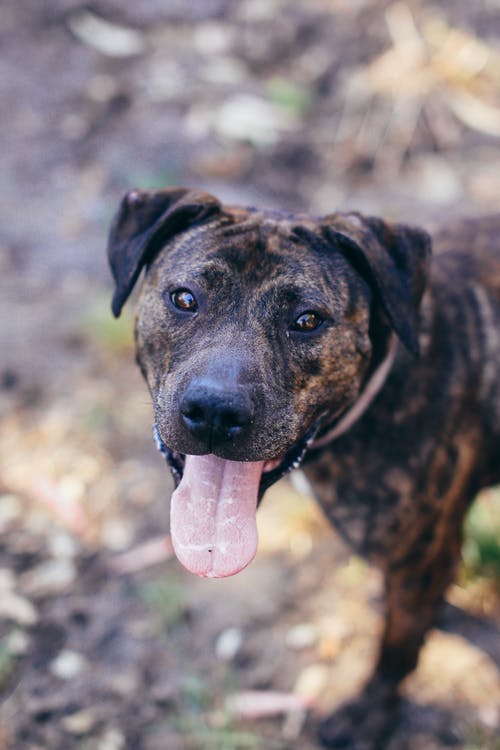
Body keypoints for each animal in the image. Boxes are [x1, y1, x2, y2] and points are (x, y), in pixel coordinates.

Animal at [106, 187, 500, 748]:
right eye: (184, 298)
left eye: (308, 320)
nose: (214, 410)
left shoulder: (422, 556)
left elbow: (397, 647)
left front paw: (370, 713)